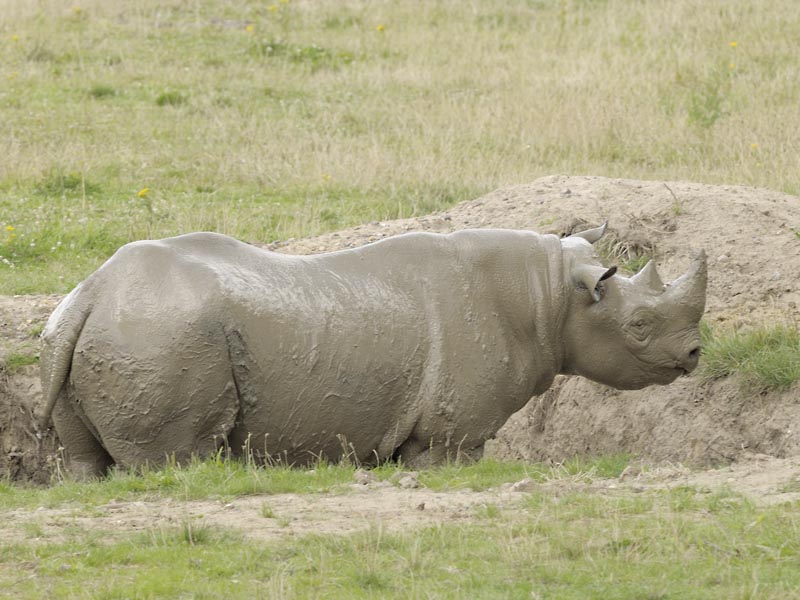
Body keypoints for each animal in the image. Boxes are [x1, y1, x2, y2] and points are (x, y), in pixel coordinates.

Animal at [39, 224, 706, 478]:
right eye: (640, 326)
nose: (696, 355)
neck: (549, 296)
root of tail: (92, 292)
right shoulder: (452, 436)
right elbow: (448, 459)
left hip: (89, 330)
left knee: (85, 459)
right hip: (162, 334)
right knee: (177, 459)